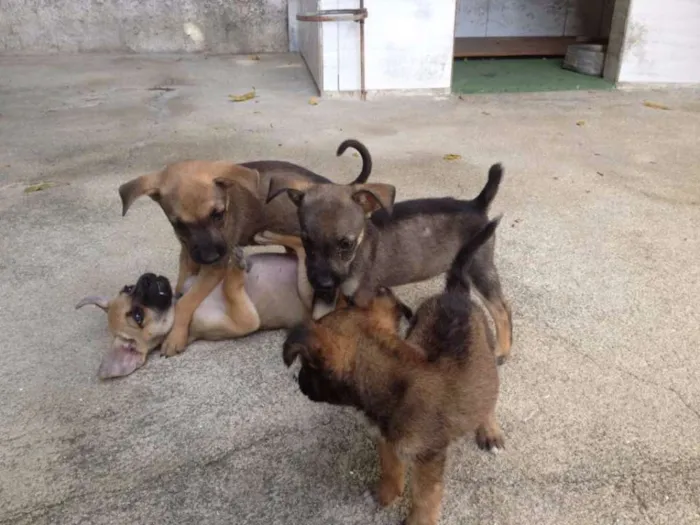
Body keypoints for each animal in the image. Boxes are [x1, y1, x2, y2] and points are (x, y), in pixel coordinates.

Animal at [119, 138, 372, 356]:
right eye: (179, 224)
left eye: (218, 214)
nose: (210, 256)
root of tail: (332, 185)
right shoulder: (189, 251)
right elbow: (183, 281)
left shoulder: (216, 268)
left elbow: (186, 301)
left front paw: (175, 336)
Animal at [282, 218, 506, 524]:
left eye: (308, 366)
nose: (299, 382)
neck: (394, 381)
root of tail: (456, 293)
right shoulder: (386, 441)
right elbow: (390, 469)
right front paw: (385, 495)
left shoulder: (427, 458)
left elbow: (425, 498)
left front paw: (416, 520)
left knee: (490, 396)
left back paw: (489, 430)